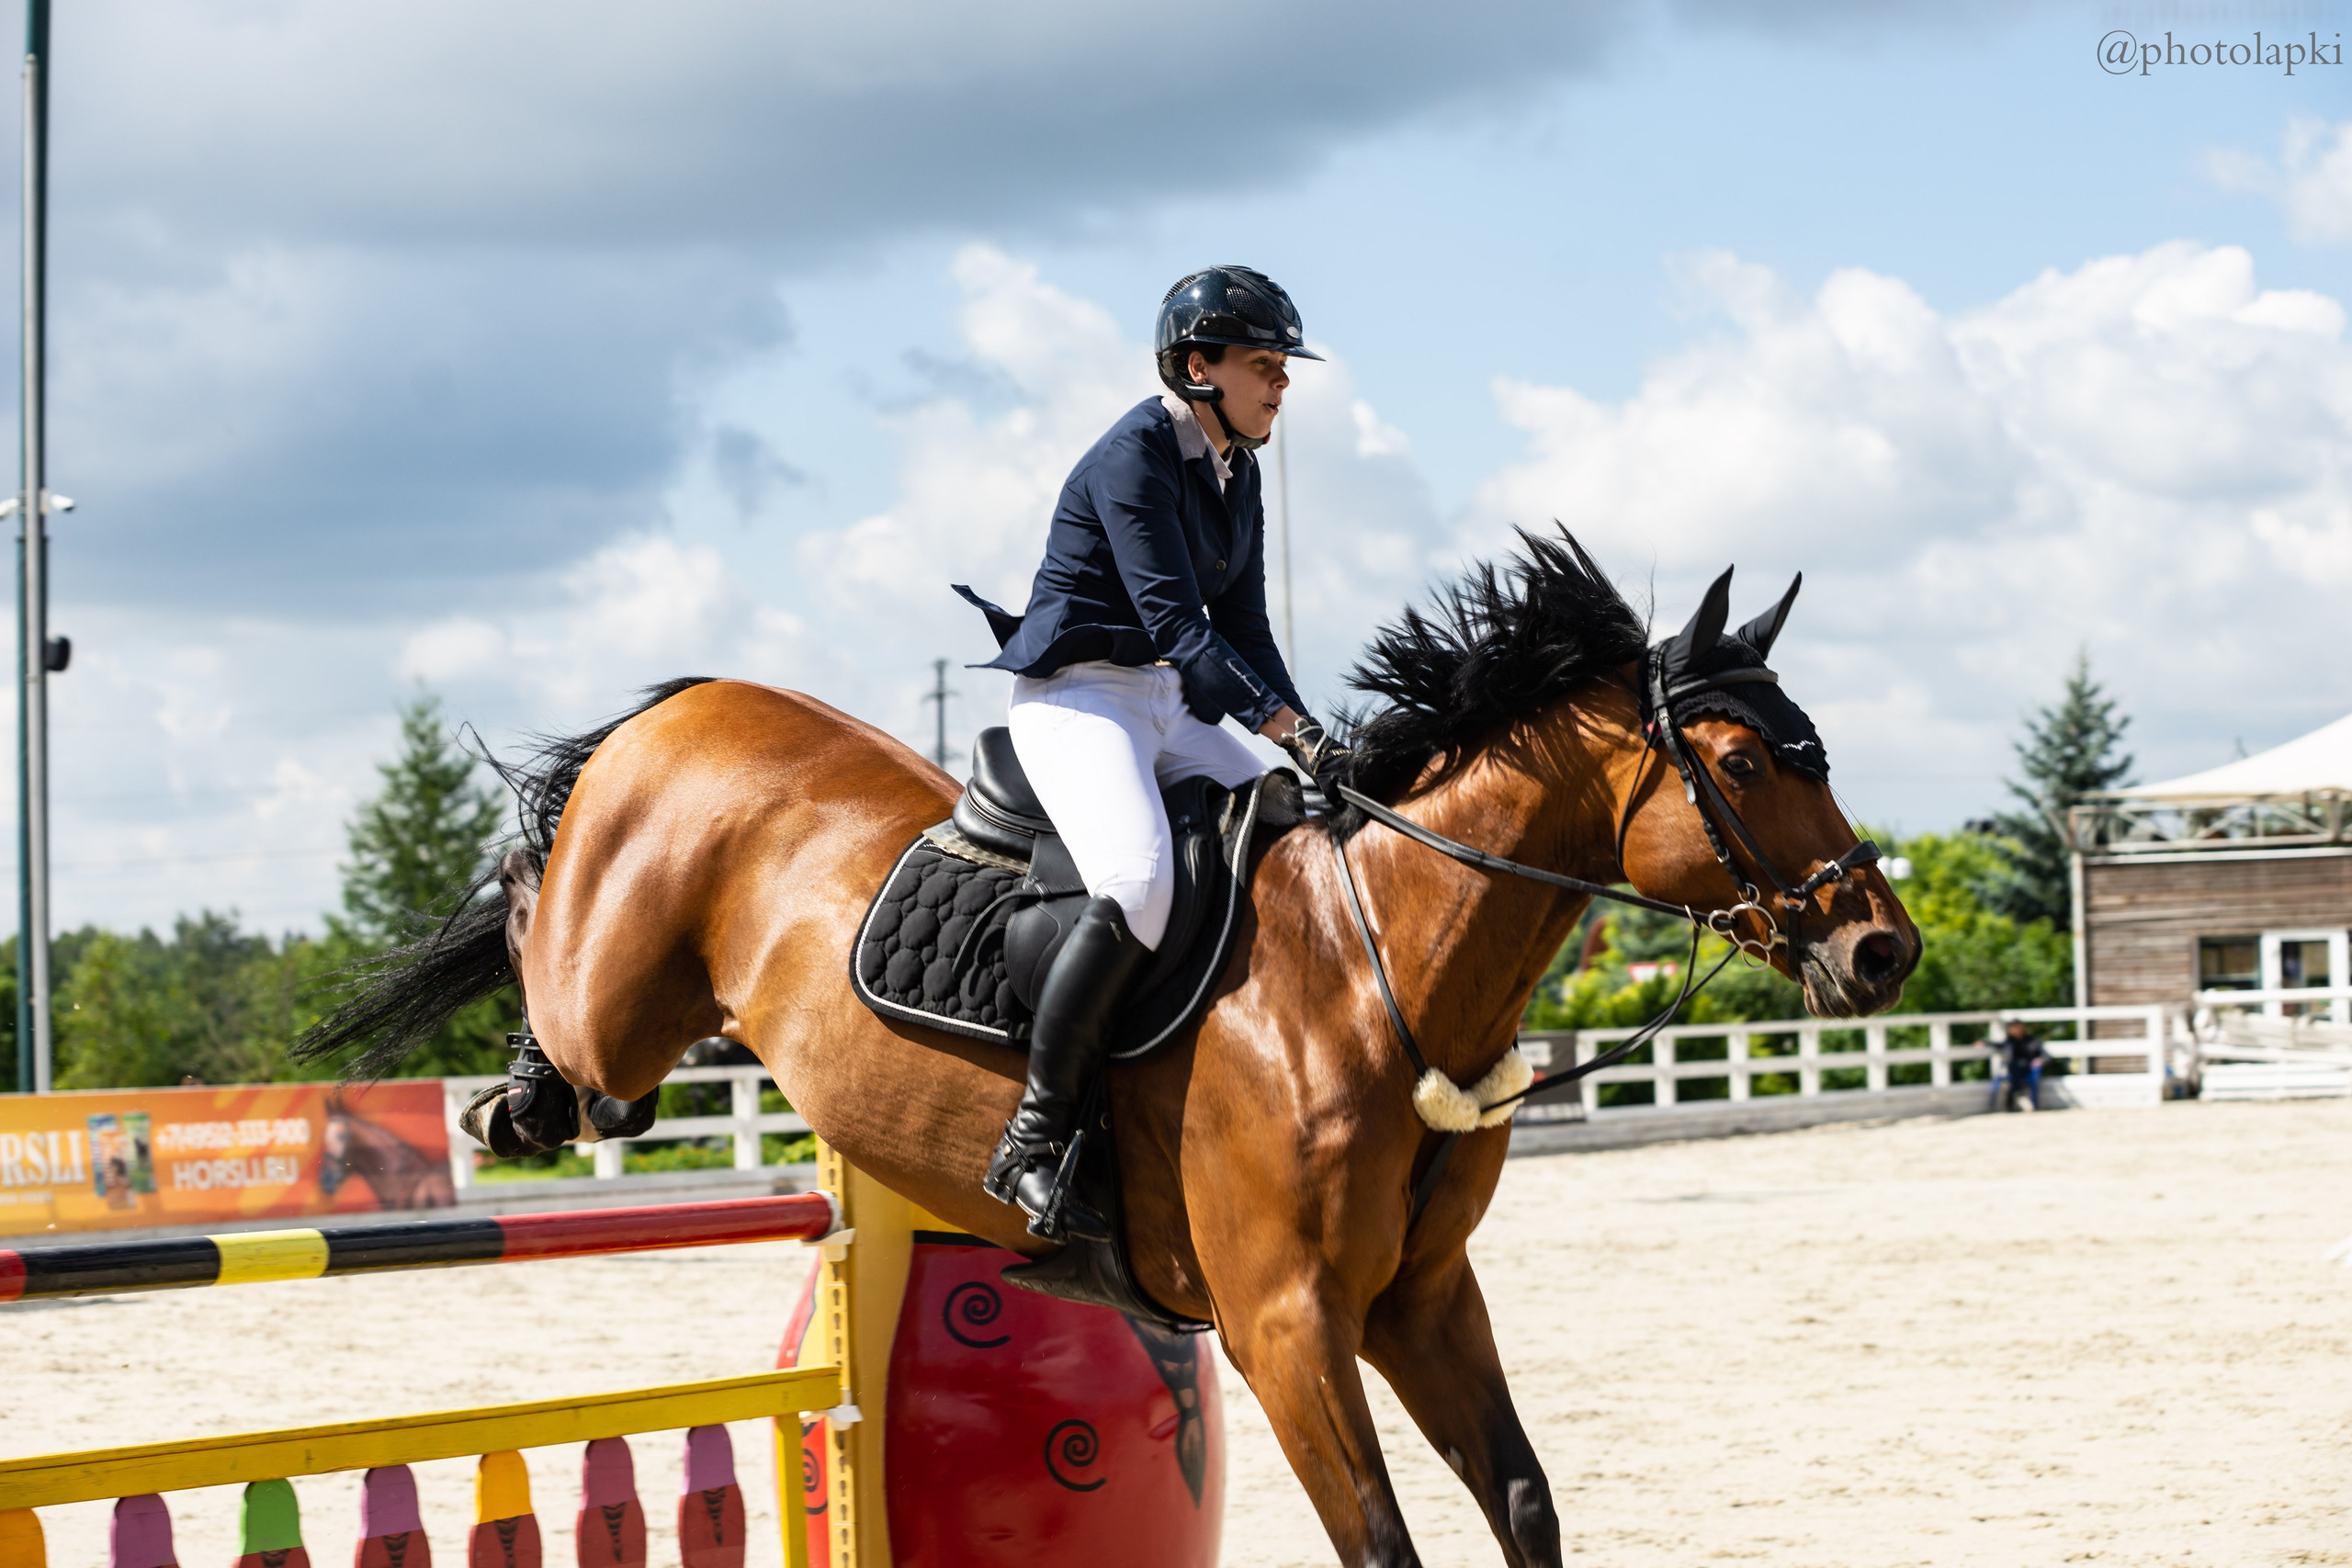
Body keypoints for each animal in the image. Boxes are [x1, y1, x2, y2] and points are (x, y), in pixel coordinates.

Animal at [302, 531, 1918, 1567]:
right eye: (1746, 759)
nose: (1882, 948)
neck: (1376, 967)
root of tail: (688, 705)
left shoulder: (1420, 1299)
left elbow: (1524, 1502)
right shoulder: (1284, 1323)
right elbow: (1383, 1543)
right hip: (616, 1009)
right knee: (547, 955)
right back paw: (511, 1091)